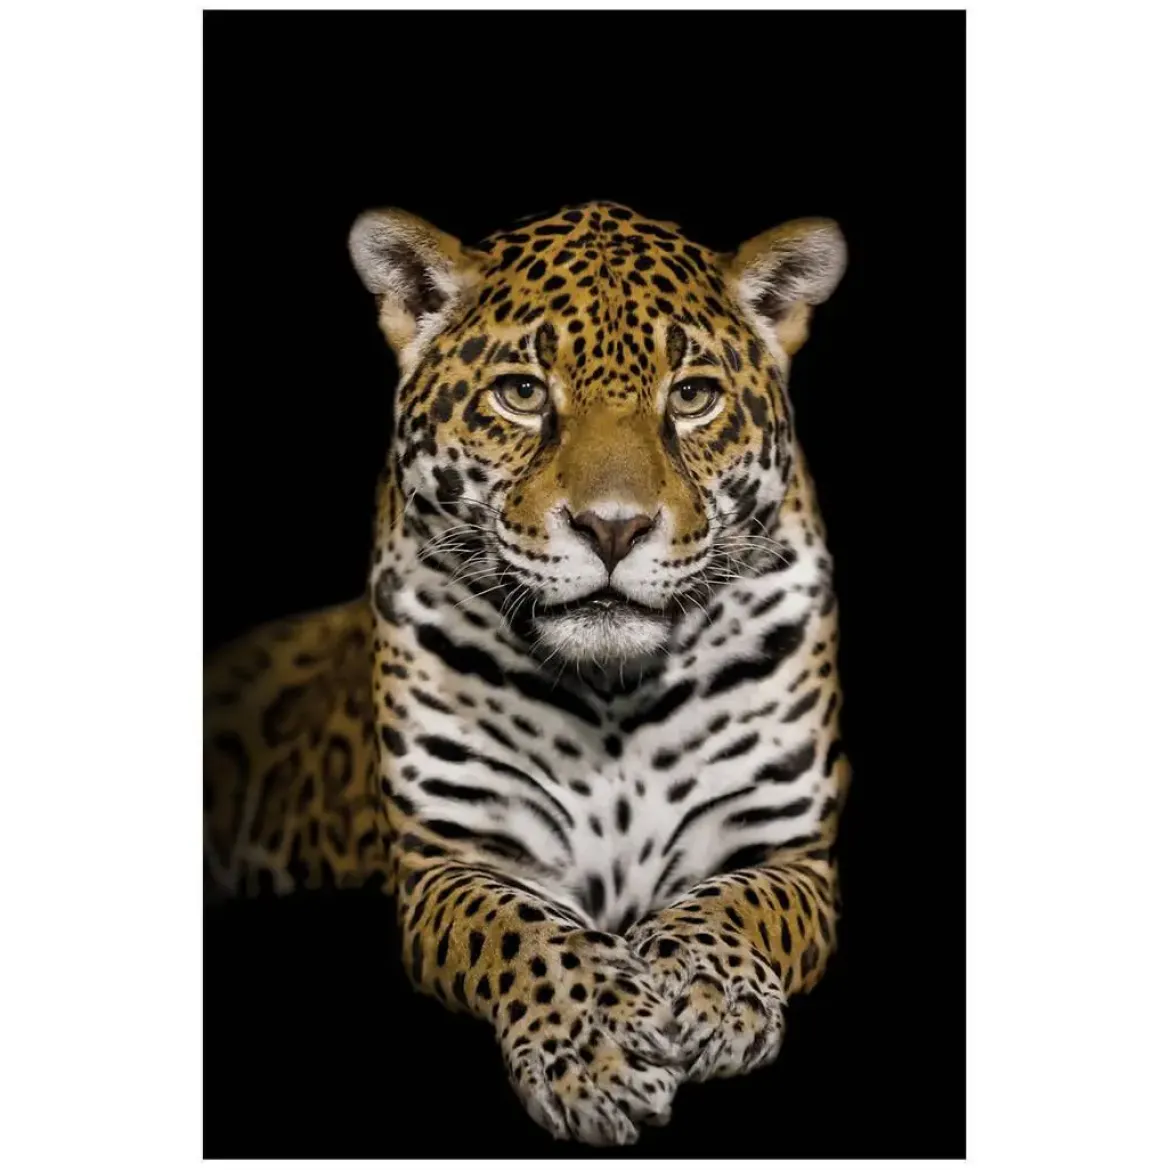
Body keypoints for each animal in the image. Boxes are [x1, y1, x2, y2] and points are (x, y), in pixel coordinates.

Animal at [204, 200, 850, 1147]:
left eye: (692, 397)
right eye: (521, 393)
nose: (613, 527)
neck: (615, 693)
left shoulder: (789, 848)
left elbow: (741, 904)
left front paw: (712, 990)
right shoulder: (452, 855)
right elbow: (524, 932)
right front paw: (599, 1047)